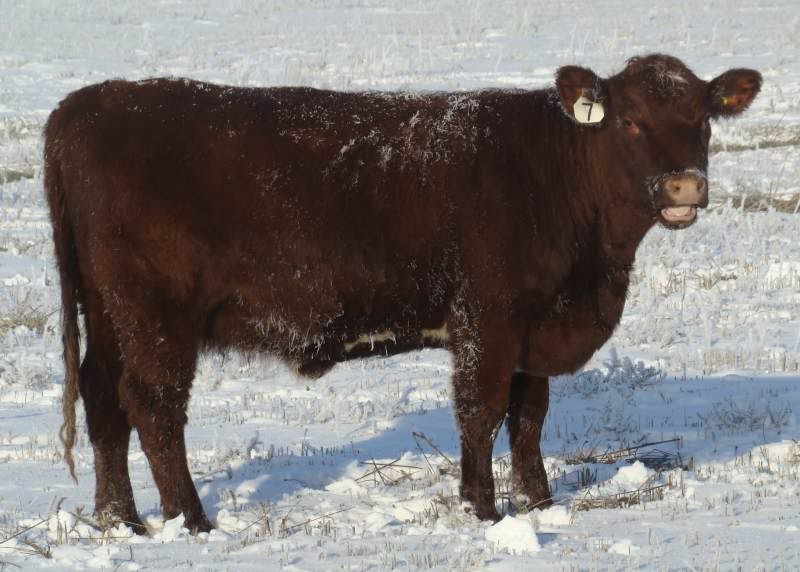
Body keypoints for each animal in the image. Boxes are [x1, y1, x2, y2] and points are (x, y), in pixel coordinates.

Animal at [44, 54, 761, 532]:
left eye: (703, 119)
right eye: (631, 122)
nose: (685, 187)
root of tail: (85, 104)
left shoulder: (536, 327)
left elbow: (529, 418)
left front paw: (537, 502)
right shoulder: (487, 320)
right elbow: (481, 412)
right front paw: (482, 508)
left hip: (106, 313)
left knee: (103, 402)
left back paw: (120, 519)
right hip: (156, 315)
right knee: (153, 406)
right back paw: (191, 521)